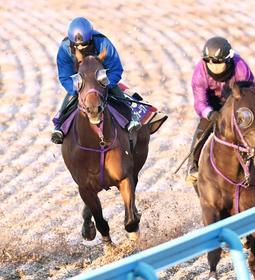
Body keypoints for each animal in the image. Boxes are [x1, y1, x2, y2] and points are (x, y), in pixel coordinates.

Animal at [60, 49, 150, 244]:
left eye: (103, 78)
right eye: (79, 79)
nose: (94, 108)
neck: (98, 142)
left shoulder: (124, 177)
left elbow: (130, 220)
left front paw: (134, 233)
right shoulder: (84, 187)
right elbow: (100, 220)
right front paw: (108, 245)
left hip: (140, 155)